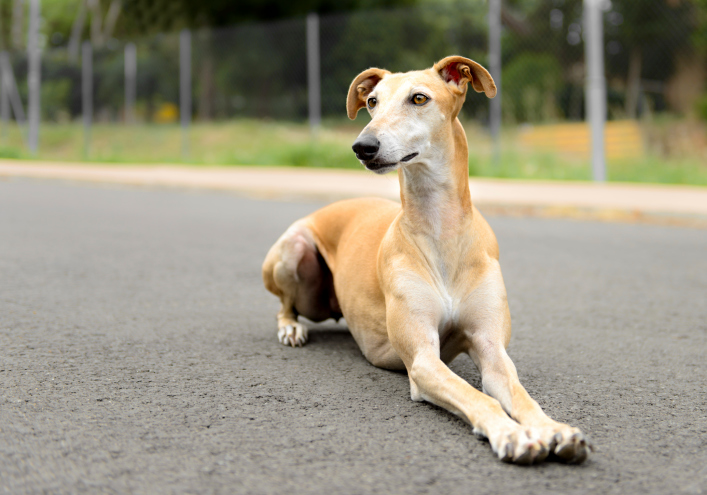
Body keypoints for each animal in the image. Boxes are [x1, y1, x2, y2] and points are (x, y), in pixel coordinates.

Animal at [262, 57, 592, 464]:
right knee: (285, 305)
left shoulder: (491, 347)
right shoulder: (423, 360)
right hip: (295, 251)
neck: (441, 232)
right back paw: (290, 328)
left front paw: (554, 429)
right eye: (371, 101)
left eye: (419, 98)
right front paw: (512, 434)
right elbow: (477, 397)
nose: (362, 146)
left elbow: (518, 394)